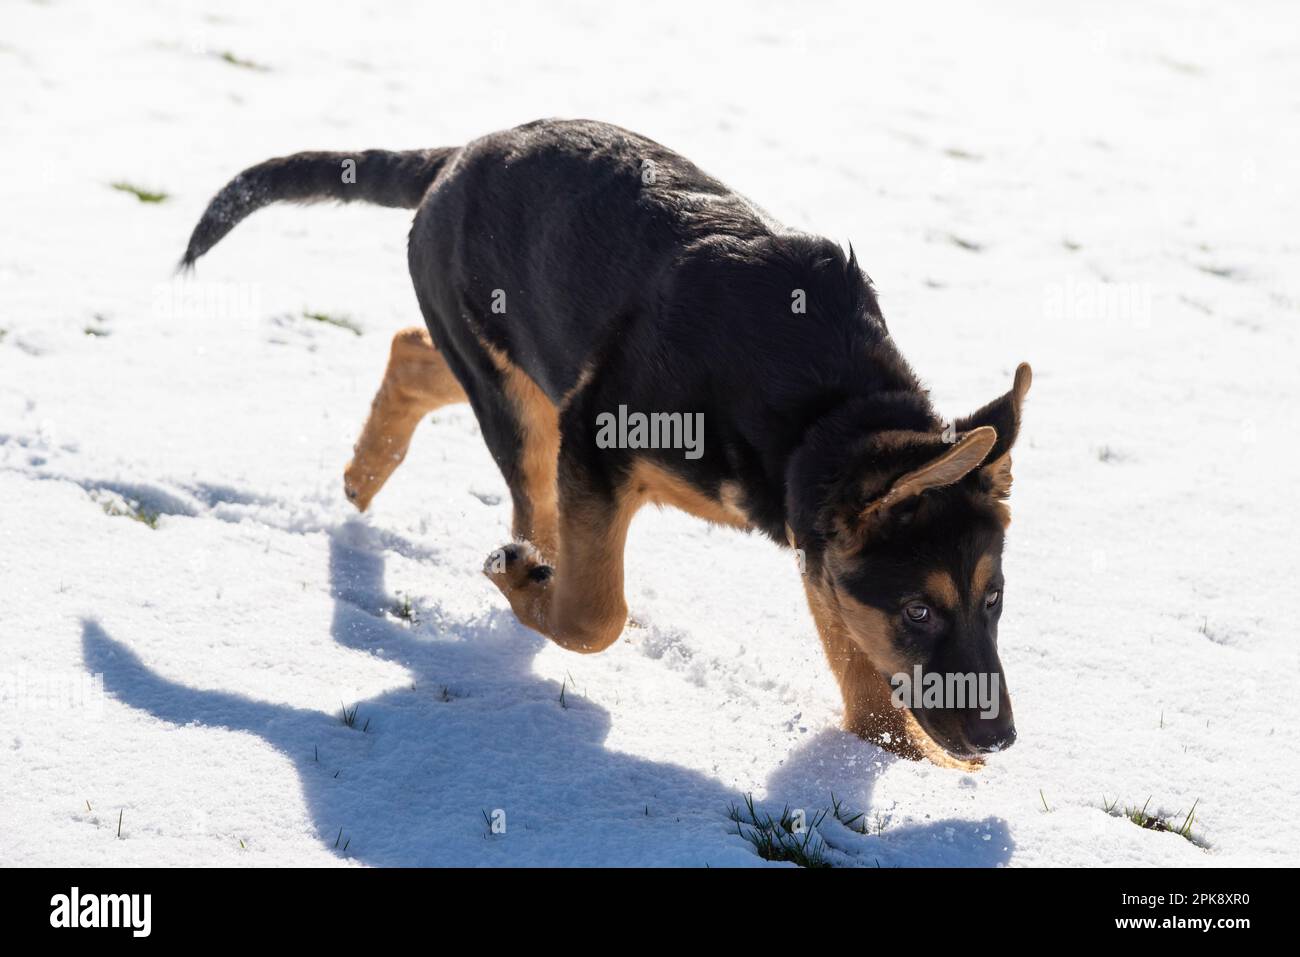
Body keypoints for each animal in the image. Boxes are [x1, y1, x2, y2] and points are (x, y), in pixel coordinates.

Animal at [185, 117, 1034, 769]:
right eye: (919, 611)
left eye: (994, 598)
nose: (1001, 741)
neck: (829, 410)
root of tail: (458, 153)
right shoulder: (599, 438)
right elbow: (597, 613)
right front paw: (524, 580)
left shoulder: (813, 531)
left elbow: (859, 663)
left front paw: (900, 756)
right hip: (523, 399)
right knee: (523, 488)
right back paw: (518, 570)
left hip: (524, 367)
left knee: (413, 351)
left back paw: (366, 475)